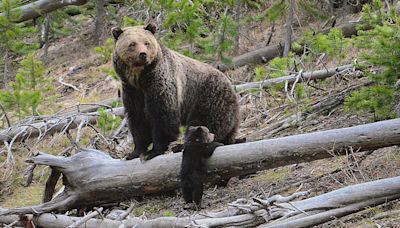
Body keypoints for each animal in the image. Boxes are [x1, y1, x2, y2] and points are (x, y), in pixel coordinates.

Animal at [111, 24, 239, 160]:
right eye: (132, 44)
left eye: (146, 43)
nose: (143, 54)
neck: (140, 78)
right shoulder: (132, 91)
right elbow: (138, 118)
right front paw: (134, 152)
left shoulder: (160, 83)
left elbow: (163, 115)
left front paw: (154, 151)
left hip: (210, 97)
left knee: (204, 123)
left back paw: (181, 146)